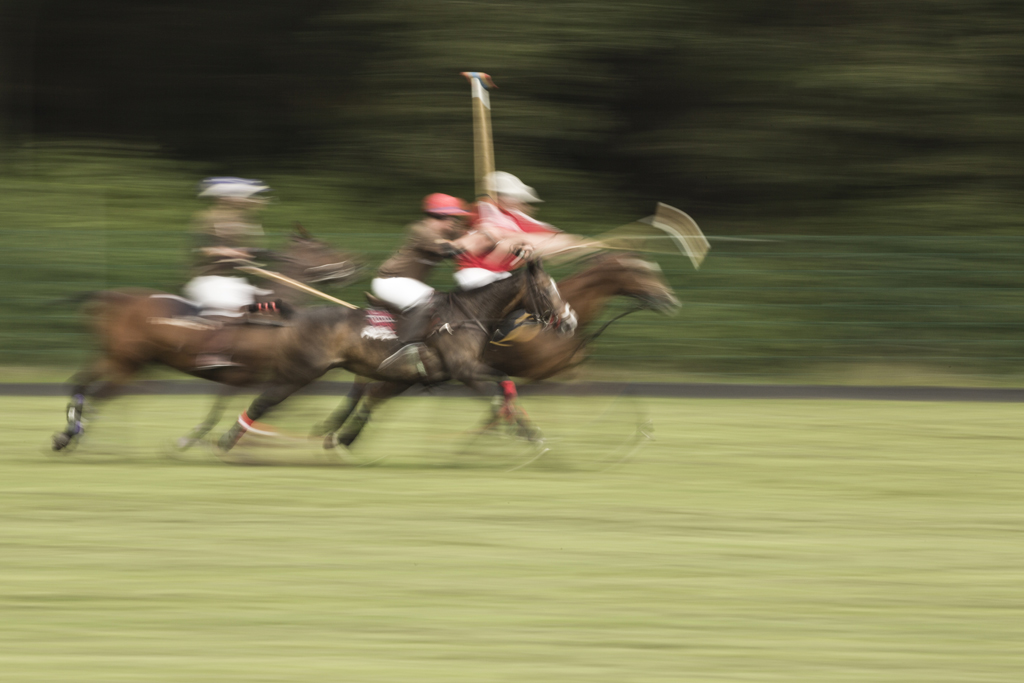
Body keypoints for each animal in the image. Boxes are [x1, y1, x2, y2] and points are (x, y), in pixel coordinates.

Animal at [52, 231, 364, 454]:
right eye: (323, 246)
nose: (356, 264)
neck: (276, 318)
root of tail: (109, 297)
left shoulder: (266, 376)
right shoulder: (246, 376)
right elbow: (223, 411)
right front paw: (190, 442)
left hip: (116, 358)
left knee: (80, 384)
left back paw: (70, 433)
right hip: (127, 364)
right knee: (95, 394)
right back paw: (72, 436)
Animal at [214, 259, 577, 450]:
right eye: (546, 289)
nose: (570, 322)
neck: (471, 314)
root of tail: (296, 314)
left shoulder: (413, 375)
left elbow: (505, 388)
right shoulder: (465, 369)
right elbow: (501, 388)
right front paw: (529, 437)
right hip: (300, 371)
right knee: (264, 401)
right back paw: (226, 441)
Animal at [311, 250, 679, 448]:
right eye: (642, 272)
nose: (671, 300)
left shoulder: (567, 372)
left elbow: (622, 388)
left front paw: (643, 430)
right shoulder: (541, 375)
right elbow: (505, 400)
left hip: (403, 376)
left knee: (372, 395)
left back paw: (340, 436)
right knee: (364, 391)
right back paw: (333, 431)